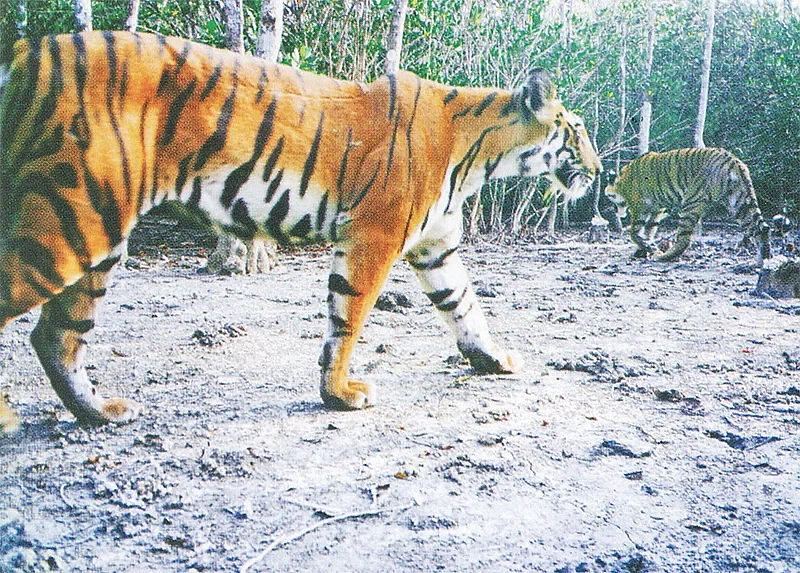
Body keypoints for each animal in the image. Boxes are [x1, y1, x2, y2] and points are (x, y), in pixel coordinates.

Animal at [0, 31, 600, 432]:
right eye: (576, 131)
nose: (598, 172)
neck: (481, 153)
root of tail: (29, 51)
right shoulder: (374, 236)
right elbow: (350, 318)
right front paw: (341, 394)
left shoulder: (435, 247)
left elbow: (465, 305)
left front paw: (493, 360)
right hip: (70, 219)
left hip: (97, 233)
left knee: (56, 335)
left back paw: (100, 413)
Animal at [608, 147, 772, 264]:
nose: (615, 210)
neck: (622, 181)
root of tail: (733, 161)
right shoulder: (657, 211)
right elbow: (649, 232)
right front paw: (643, 250)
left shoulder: (639, 208)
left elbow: (634, 233)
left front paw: (648, 249)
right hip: (740, 203)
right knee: (760, 229)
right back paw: (764, 260)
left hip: (690, 203)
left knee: (684, 240)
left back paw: (663, 257)